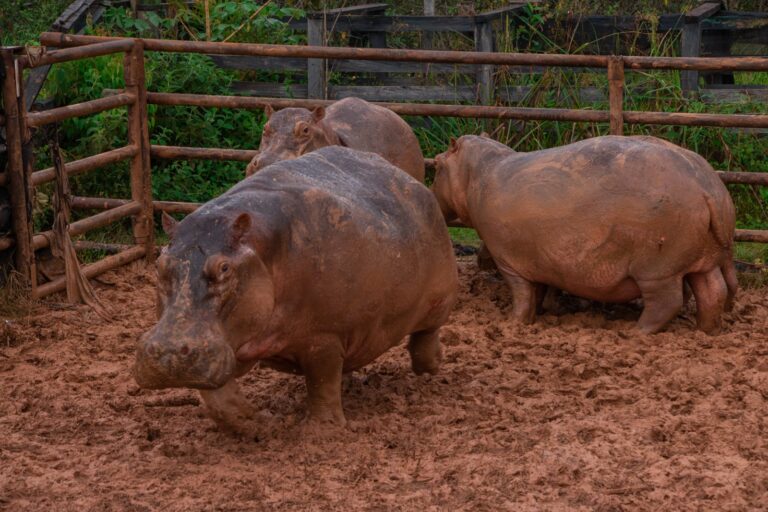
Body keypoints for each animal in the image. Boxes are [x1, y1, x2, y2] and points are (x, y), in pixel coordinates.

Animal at [134, 145, 456, 428]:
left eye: (224, 268)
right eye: (160, 264)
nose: (167, 352)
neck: (261, 249)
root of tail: (409, 180)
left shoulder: (323, 337)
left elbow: (322, 383)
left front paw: (322, 430)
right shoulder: (222, 347)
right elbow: (217, 398)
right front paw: (255, 422)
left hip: (437, 300)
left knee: (424, 339)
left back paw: (430, 371)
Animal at [432, 135, 736, 336]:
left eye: (436, 164)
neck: (474, 173)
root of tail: (708, 187)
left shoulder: (508, 262)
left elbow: (523, 294)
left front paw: (513, 323)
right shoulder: (537, 261)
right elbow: (539, 291)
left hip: (657, 269)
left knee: (666, 302)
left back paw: (635, 332)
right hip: (700, 259)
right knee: (713, 293)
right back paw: (705, 332)